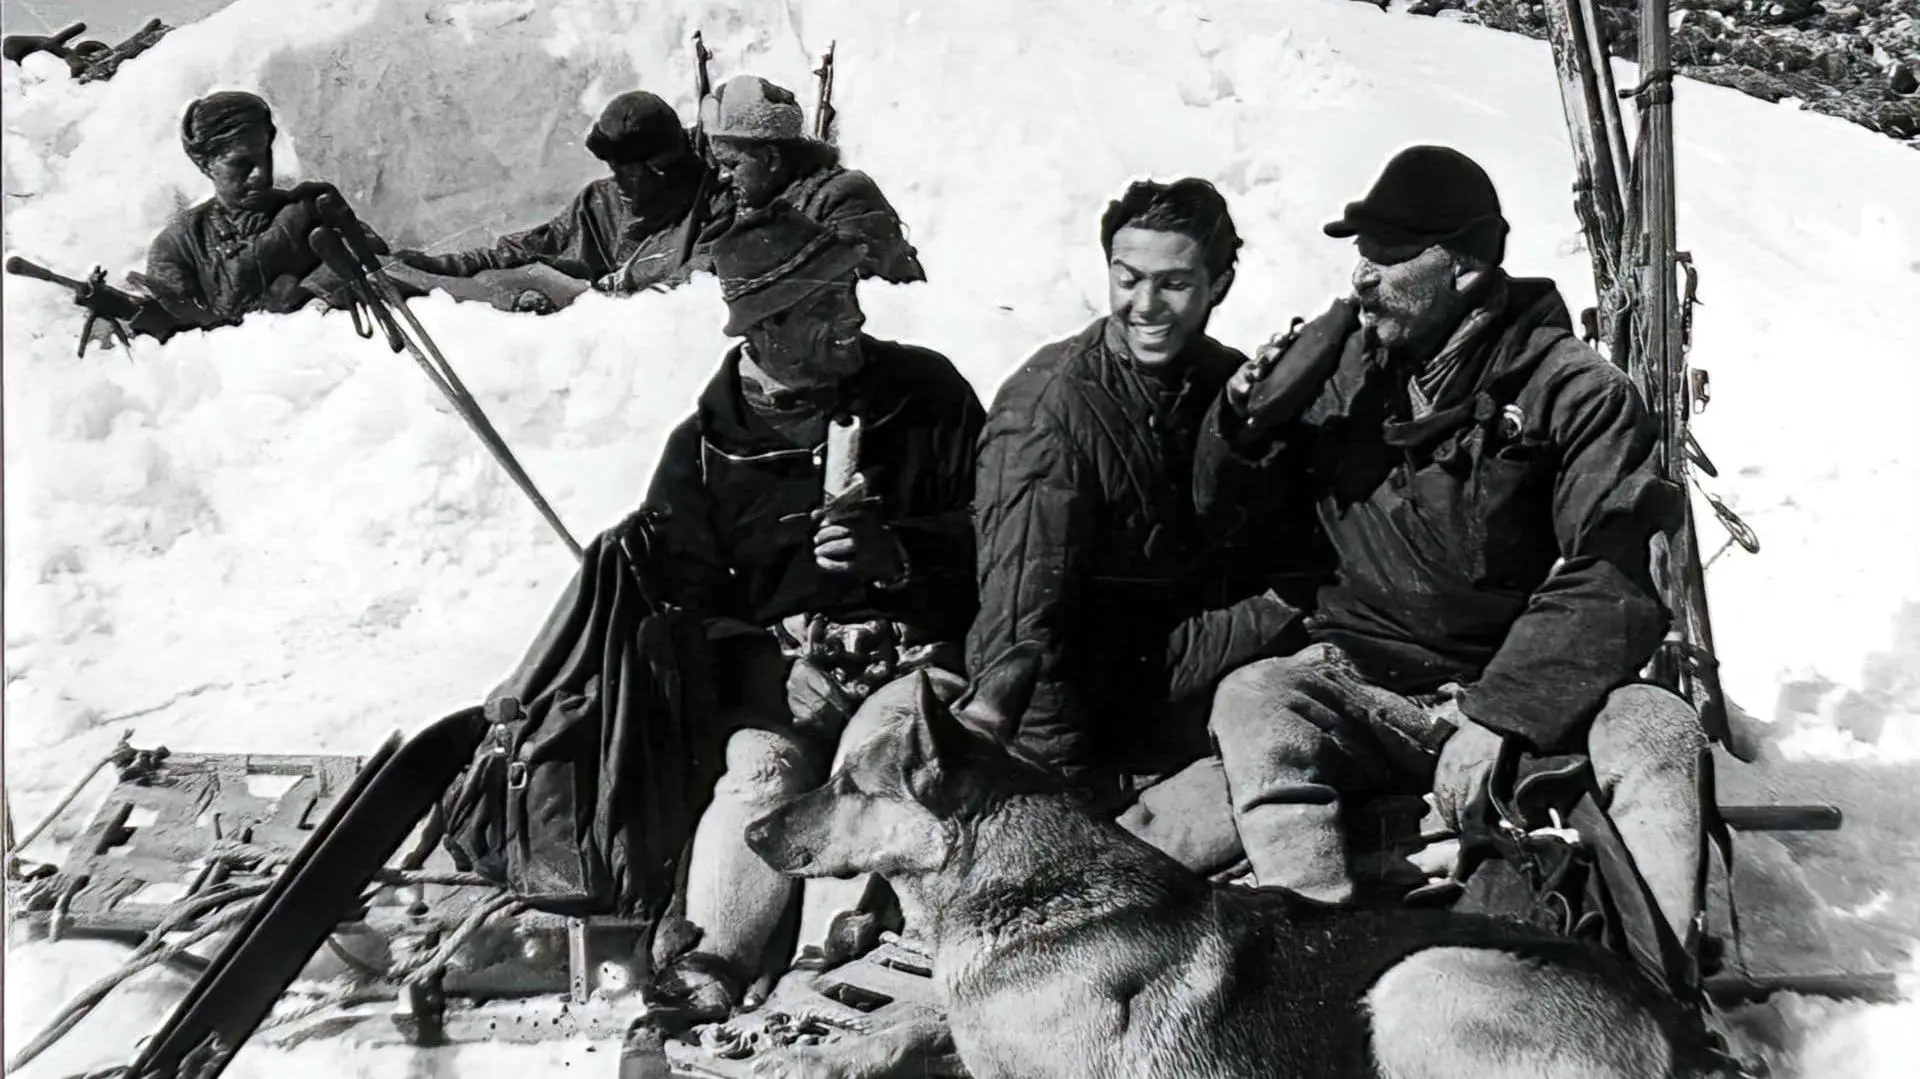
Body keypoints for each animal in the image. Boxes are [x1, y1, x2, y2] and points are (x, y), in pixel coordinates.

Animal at [748, 645, 1743, 1075]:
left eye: (846, 780)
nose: (753, 835)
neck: (1036, 889)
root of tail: (1683, 1036)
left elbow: (930, 1033)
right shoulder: (974, 1026)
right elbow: (913, 1023)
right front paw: (808, 1061)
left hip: (1418, 981)